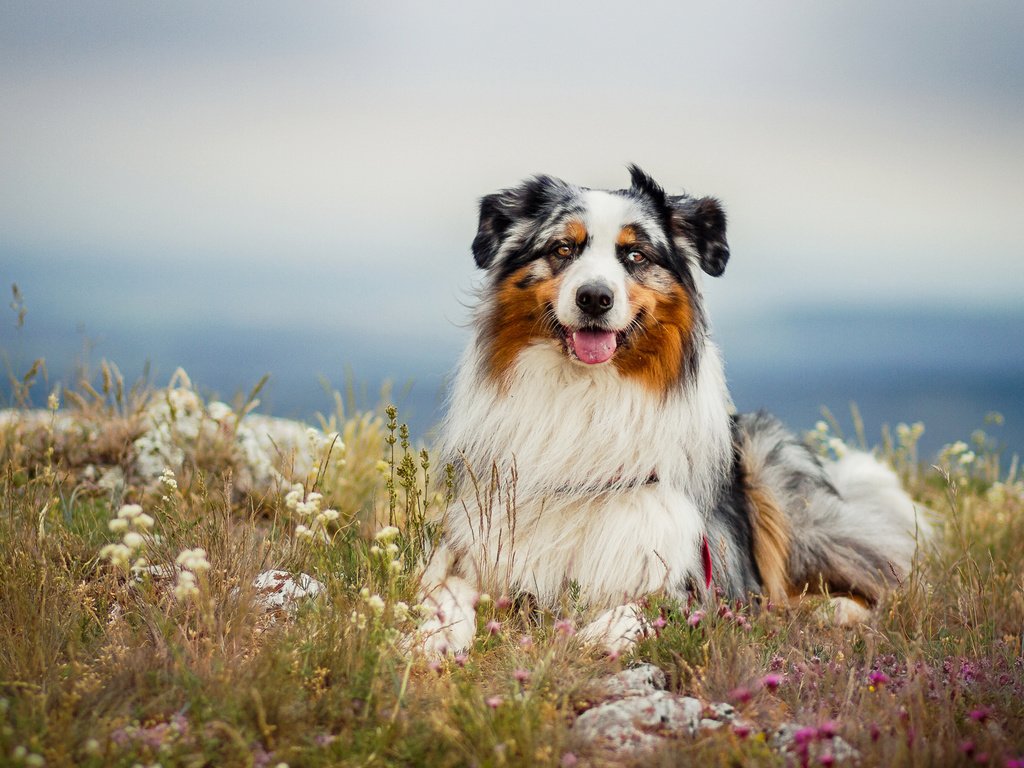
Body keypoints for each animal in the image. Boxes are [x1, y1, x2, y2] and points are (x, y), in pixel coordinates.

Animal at [417, 167, 929, 655]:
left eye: (635, 256)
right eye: (563, 248)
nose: (595, 298)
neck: (587, 393)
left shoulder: (686, 574)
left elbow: (640, 608)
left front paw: (595, 636)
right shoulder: (480, 541)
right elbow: (447, 591)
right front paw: (432, 637)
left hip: (769, 467)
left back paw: (835, 610)